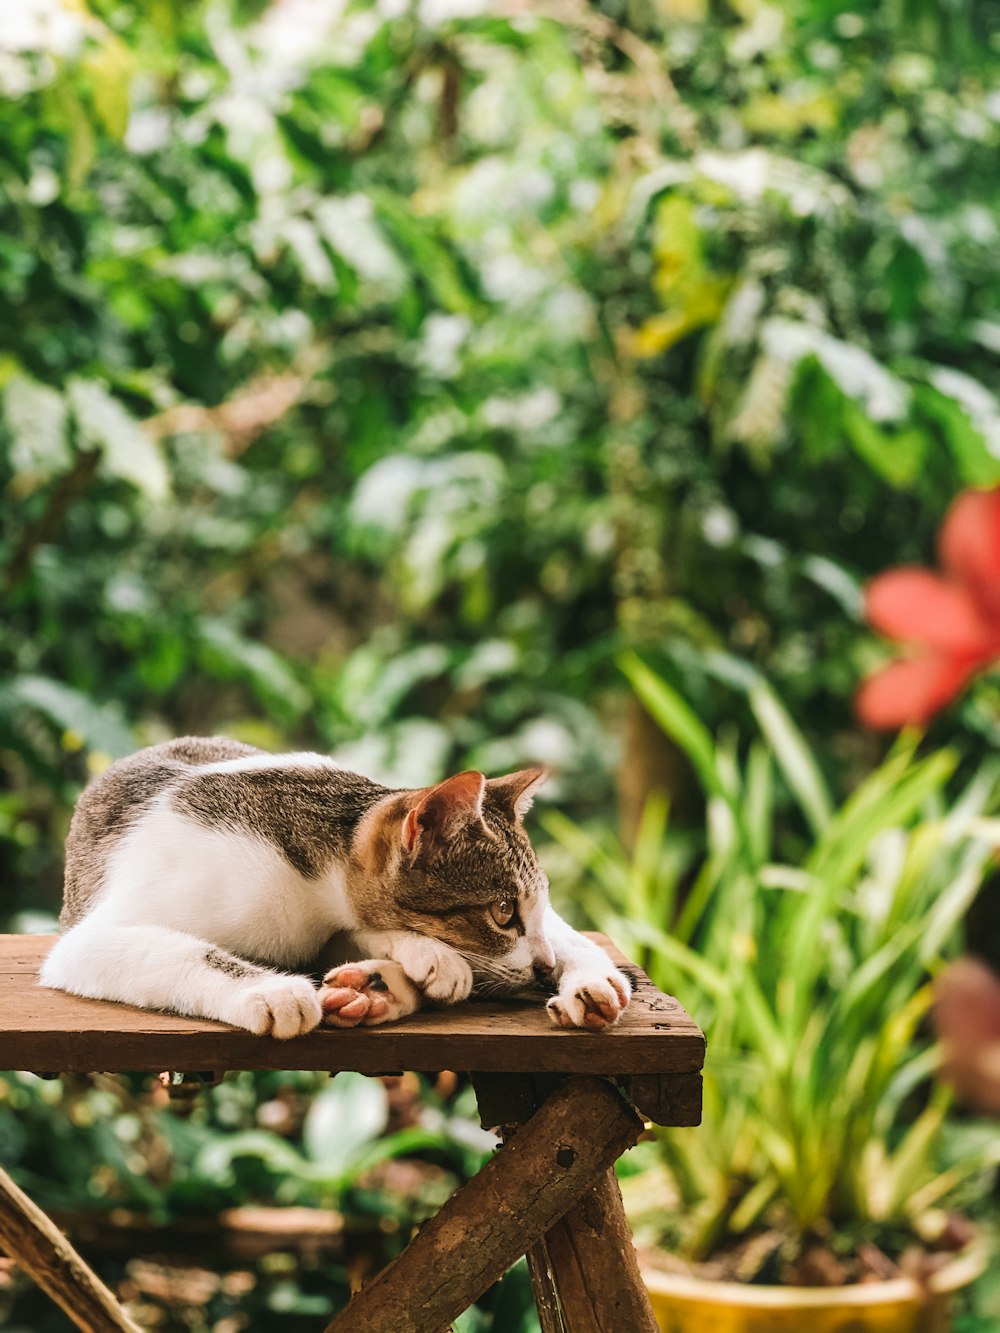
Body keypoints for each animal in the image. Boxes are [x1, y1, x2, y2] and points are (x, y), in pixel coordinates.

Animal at [43, 741, 634, 1039]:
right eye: (504, 912)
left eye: (524, 908)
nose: (543, 965)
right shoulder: (85, 939)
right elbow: (191, 952)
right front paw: (274, 992)